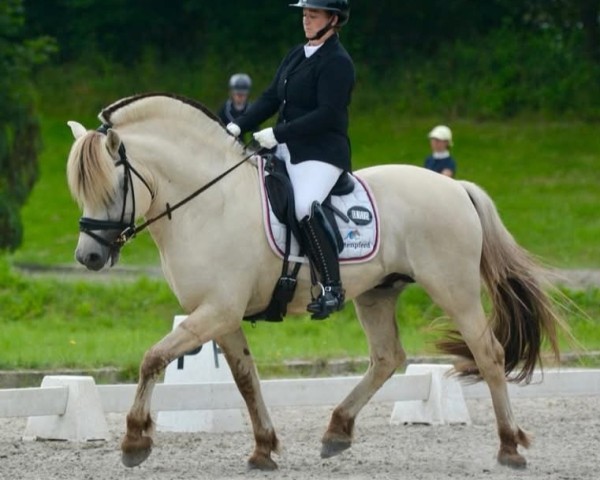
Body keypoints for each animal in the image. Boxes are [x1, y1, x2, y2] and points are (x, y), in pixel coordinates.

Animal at [65, 93, 564, 468]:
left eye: (112, 187)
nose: (89, 257)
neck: (208, 202)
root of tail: (456, 187)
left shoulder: (217, 310)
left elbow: (153, 358)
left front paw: (135, 440)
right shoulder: (220, 315)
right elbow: (245, 377)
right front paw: (264, 448)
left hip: (453, 288)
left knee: (488, 353)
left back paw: (509, 446)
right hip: (378, 293)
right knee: (388, 357)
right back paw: (337, 431)